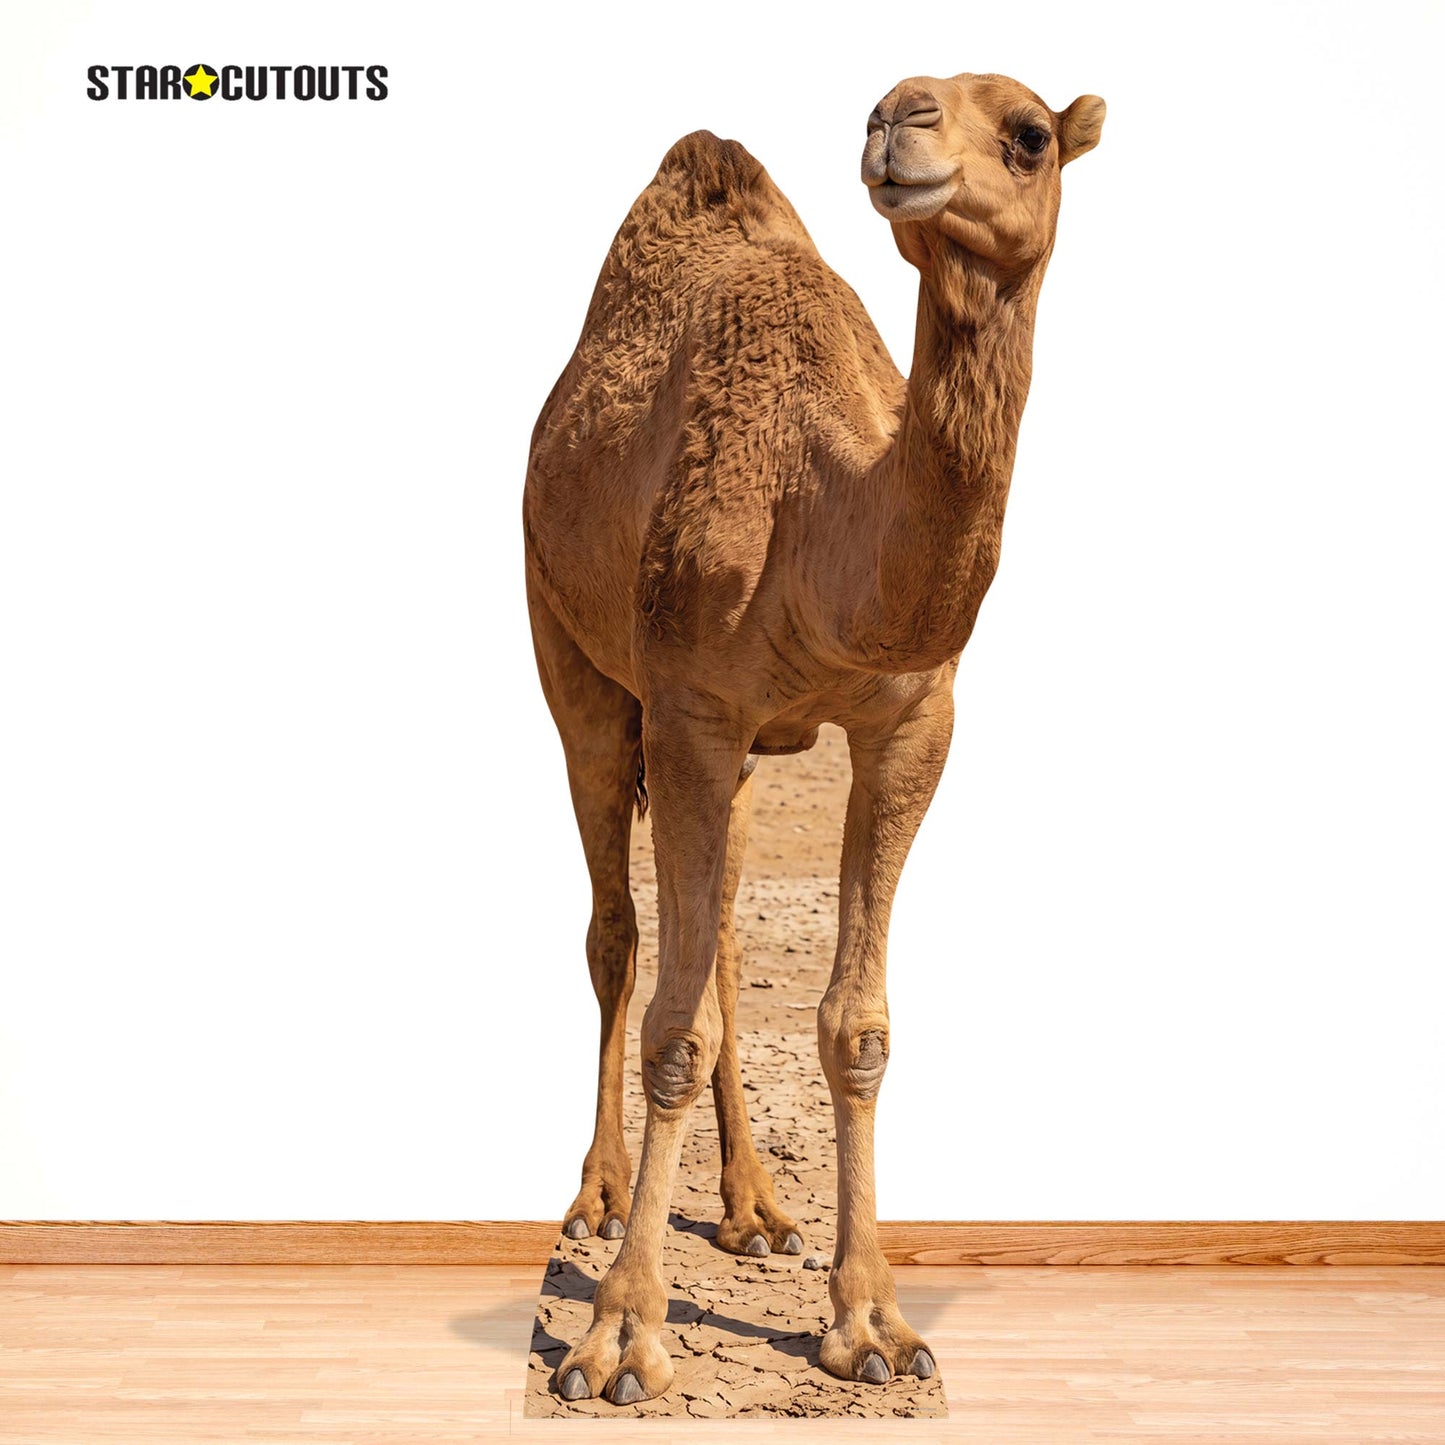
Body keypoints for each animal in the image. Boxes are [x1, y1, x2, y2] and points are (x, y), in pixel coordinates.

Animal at [523, 71, 1105, 1405]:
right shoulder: (688, 700)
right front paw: (617, 1340)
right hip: (569, 653)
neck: (819, 506)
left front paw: (871, 1321)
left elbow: (856, 1022)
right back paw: (598, 1193)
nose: (899, 117)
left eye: (1029, 135)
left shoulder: (909, 722)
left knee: (719, 939)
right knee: (616, 930)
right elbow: (669, 1022)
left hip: (730, 755)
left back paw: (754, 1208)